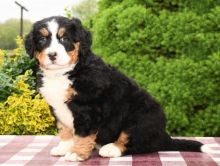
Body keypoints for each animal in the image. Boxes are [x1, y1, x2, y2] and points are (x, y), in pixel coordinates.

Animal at [24, 16, 205, 161]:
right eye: (42, 40)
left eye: (65, 39)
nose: (52, 55)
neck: (66, 72)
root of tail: (164, 135)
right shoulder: (57, 108)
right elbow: (65, 131)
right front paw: (64, 148)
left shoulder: (88, 109)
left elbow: (82, 135)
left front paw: (76, 154)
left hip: (141, 117)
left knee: (134, 140)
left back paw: (111, 148)